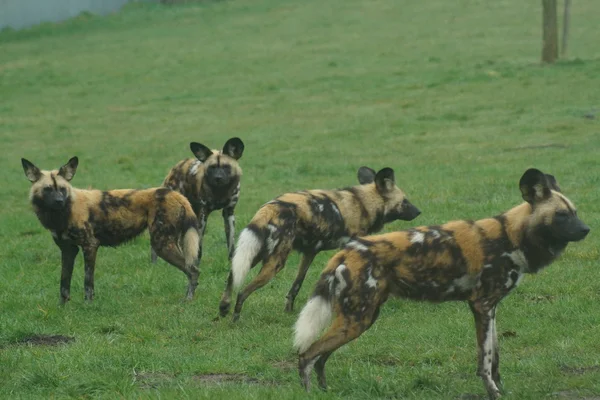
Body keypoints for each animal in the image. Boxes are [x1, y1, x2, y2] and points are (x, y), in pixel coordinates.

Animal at [22, 156, 200, 304]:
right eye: (48, 189)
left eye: (62, 189)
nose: (59, 201)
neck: (63, 213)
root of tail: (176, 194)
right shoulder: (68, 250)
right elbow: (64, 282)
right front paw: (62, 307)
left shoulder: (90, 246)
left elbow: (88, 281)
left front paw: (88, 304)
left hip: (161, 245)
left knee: (193, 270)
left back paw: (188, 299)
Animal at [296, 167, 592, 398]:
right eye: (562, 215)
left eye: (575, 212)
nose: (587, 229)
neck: (510, 237)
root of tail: (348, 250)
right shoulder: (482, 306)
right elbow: (485, 362)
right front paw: (493, 393)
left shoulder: (491, 309)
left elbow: (495, 358)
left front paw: (502, 390)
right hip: (357, 319)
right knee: (307, 355)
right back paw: (310, 393)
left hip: (357, 319)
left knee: (321, 358)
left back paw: (325, 391)